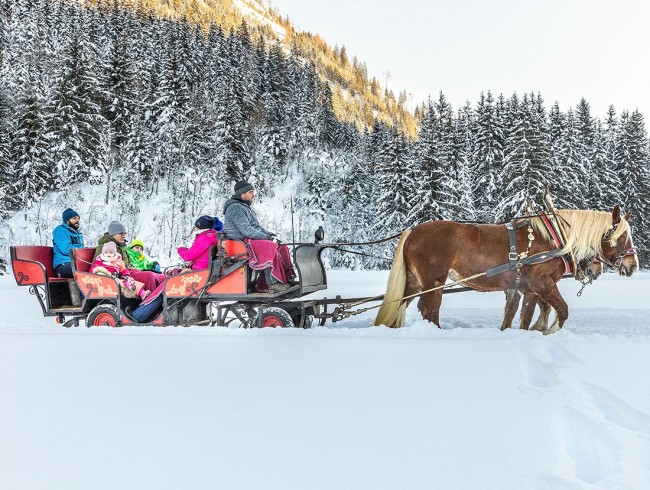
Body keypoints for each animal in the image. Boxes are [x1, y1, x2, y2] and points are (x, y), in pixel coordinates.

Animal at [372, 207, 636, 334]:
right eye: (621, 237)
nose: (633, 266)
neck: (555, 240)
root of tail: (412, 232)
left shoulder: (527, 289)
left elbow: (524, 315)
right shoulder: (541, 284)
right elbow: (561, 309)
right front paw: (549, 332)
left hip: (414, 281)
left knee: (401, 303)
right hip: (434, 281)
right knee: (429, 309)